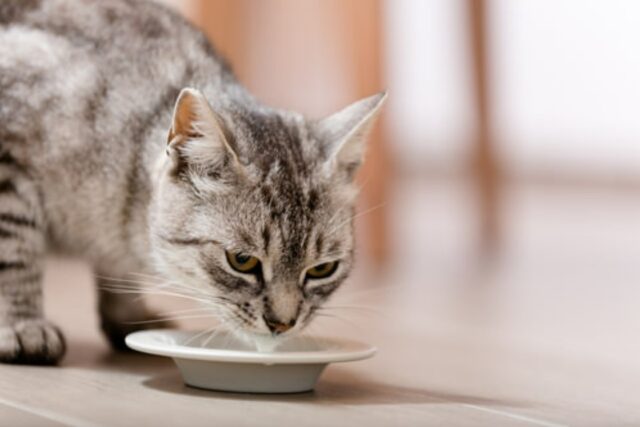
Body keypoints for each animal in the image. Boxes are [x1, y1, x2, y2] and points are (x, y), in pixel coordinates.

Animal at [0, 0, 384, 364]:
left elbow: (118, 273)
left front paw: (128, 315)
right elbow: (16, 253)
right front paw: (22, 325)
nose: (282, 324)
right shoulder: (10, 160)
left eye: (322, 269)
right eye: (241, 260)